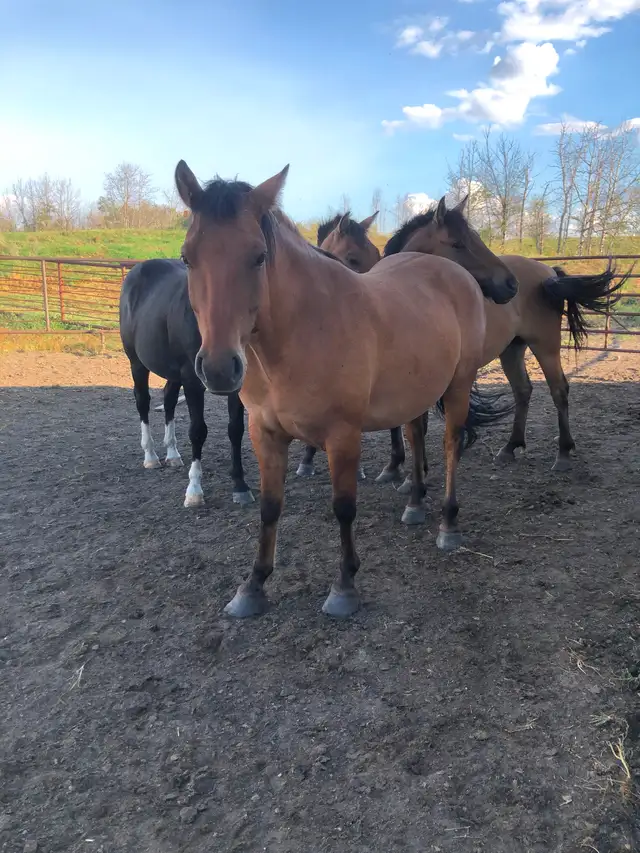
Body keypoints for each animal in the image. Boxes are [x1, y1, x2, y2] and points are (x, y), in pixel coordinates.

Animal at [119, 259, 254, 508]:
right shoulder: (192, 380)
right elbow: (198, 431)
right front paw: (194, 490)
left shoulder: (237, 384)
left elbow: (236, 429)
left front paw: (240, 486)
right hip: (136, 362)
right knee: (142, 401)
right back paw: (151, 456)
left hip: (173, 373)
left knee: (169, 400)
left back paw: (172, 454)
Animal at [173, 160, 518, 619]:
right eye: (186, 257)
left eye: (259, 256)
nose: (217, 367)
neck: (302, 329)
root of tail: (450, 273)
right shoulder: (265, 434)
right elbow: (269, 508)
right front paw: (253, 586)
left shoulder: (343, 436)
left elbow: (343, 507)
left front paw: (344, 586)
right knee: (417, 436)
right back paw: (415, 505)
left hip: (458, 387)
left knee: (450, 447)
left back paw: (448, 523)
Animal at [379, 195, 628, 481]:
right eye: (458, 243)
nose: (511, 284)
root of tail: (548, 272)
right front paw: (400, 469)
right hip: (512, 349)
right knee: (523, 390)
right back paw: (511, 446)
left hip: (546, 347)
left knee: (559, 390)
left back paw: (563, 453)